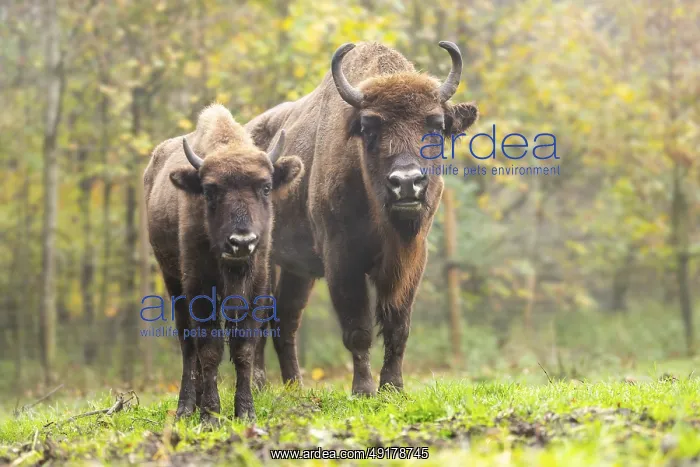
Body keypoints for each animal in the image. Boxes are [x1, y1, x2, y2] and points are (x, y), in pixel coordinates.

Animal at [143, 103, 304, 421]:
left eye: (266, 187)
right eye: (209, 190)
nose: (241, 242)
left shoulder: (257, 287)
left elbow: (243, 348)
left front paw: (245, 411)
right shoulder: (200, 288)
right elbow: (209, 349)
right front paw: (209, 415)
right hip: (173, 282)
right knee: (188, 345)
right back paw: (186, 407)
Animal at [246, 42, 478, 394]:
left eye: (436, 125)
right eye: (369, 127)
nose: (407, 183)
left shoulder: (412, 260)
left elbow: (398, 326)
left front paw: (394, 386)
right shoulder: (342, 259)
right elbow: (358, 330)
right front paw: (364, 389)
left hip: (297, 269)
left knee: (286, 318)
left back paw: (295, 386)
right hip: (265, 259)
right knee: (259, 318)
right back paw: (259, 384)